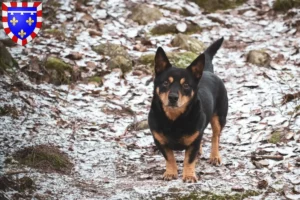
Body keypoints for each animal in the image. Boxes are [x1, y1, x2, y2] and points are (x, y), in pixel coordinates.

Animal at [148, 36, 227, 182]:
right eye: (165, 83)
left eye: (185, 85)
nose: (173, 97)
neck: (174, 119)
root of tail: (207, 71)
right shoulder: (159, 141)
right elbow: (169, 157)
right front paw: (171, 173)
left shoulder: (193, 142)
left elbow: (189, 159)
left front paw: (189, 176)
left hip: (220, 117)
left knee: (215, 136)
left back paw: (214, 156)